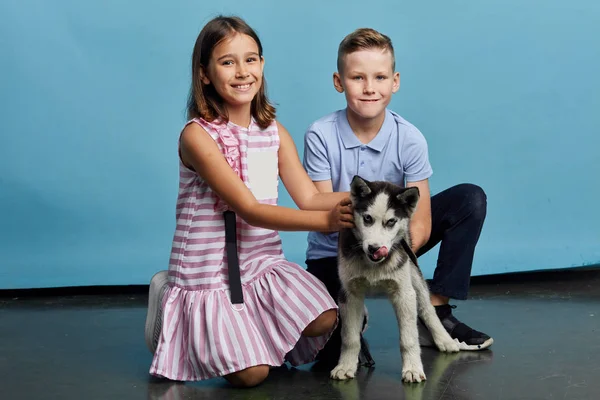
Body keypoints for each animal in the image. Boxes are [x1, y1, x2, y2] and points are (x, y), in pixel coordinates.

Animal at [330, 177, 458, 382]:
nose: (374, 248)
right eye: (367, 218)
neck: (374, 265)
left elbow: (409, 338)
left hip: (413, 272)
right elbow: (350, 338)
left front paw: (412, 368)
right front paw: (345, 366)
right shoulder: (349, 294)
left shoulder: (404, 293)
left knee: (428, 310)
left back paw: (445, 339)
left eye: (391, 221)